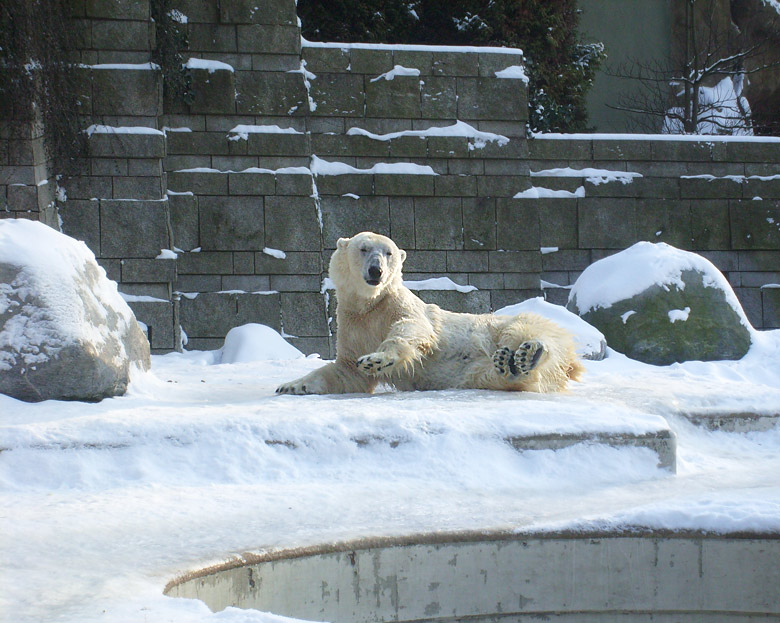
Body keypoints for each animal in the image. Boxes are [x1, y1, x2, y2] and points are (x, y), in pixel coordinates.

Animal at [278, 234, 580, 394]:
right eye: (363, 249)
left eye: (388, 252)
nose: (376, 270)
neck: (369, 305)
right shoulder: (351, 323)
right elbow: (346, 371)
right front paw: (290, 386)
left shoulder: (398, 305)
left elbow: (413, 328)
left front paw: (377, 359)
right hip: (473, 371)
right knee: (492, 374)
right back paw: (510, 365)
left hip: (510, 324)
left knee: (525, 332)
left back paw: (530, 354)